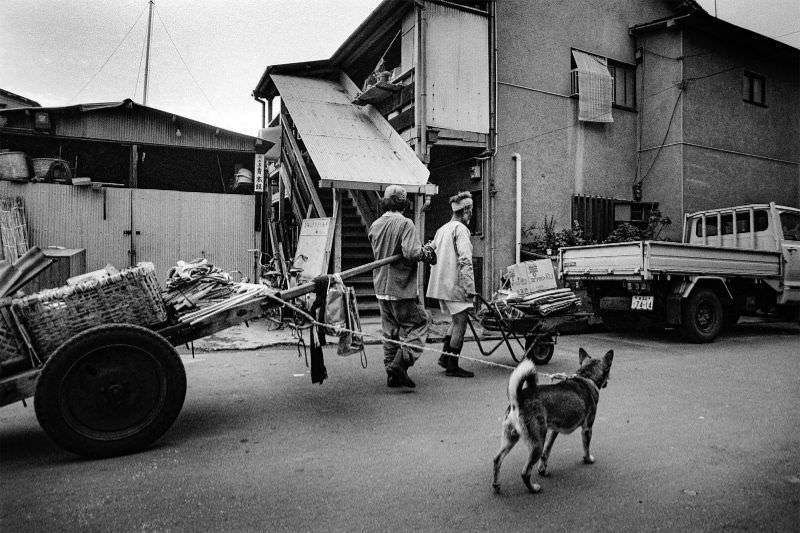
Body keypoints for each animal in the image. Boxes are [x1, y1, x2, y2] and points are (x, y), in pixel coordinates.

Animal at [490, 348, 616, 492]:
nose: (608, 382)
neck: (586, 377)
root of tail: (518, 399)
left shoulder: (553, 431)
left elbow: (547, 452)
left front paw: (542, 470)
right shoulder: (587, 429)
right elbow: (586, 448)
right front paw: (588, 459)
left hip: (511, 438)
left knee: (497, 460)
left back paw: (496, 485)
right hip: (537, 444)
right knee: (525, 472)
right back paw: (533, 488)